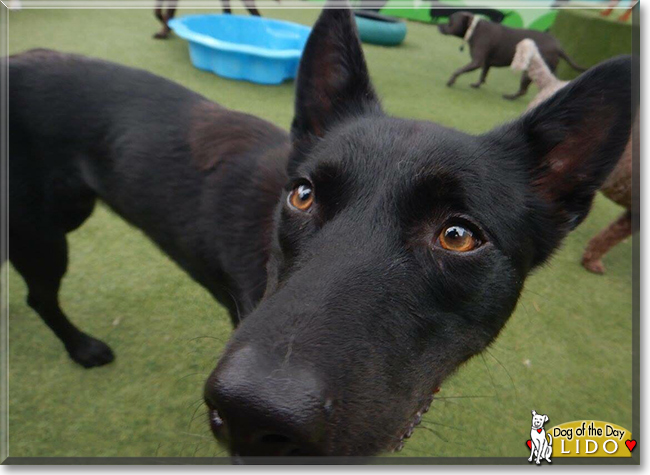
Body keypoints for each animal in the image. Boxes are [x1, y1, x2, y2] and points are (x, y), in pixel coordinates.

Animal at [438, 11, 584, 99]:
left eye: (450, 21)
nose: (439, 25)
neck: (473, 29)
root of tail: (558, 46)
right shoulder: (486, 63)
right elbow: (483, 75)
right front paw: (477, 85)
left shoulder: (477, 62)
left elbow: (458, 70)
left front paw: (451, 81)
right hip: (549, 70)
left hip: (528, 72)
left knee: (523, 90)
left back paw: (510, 97)